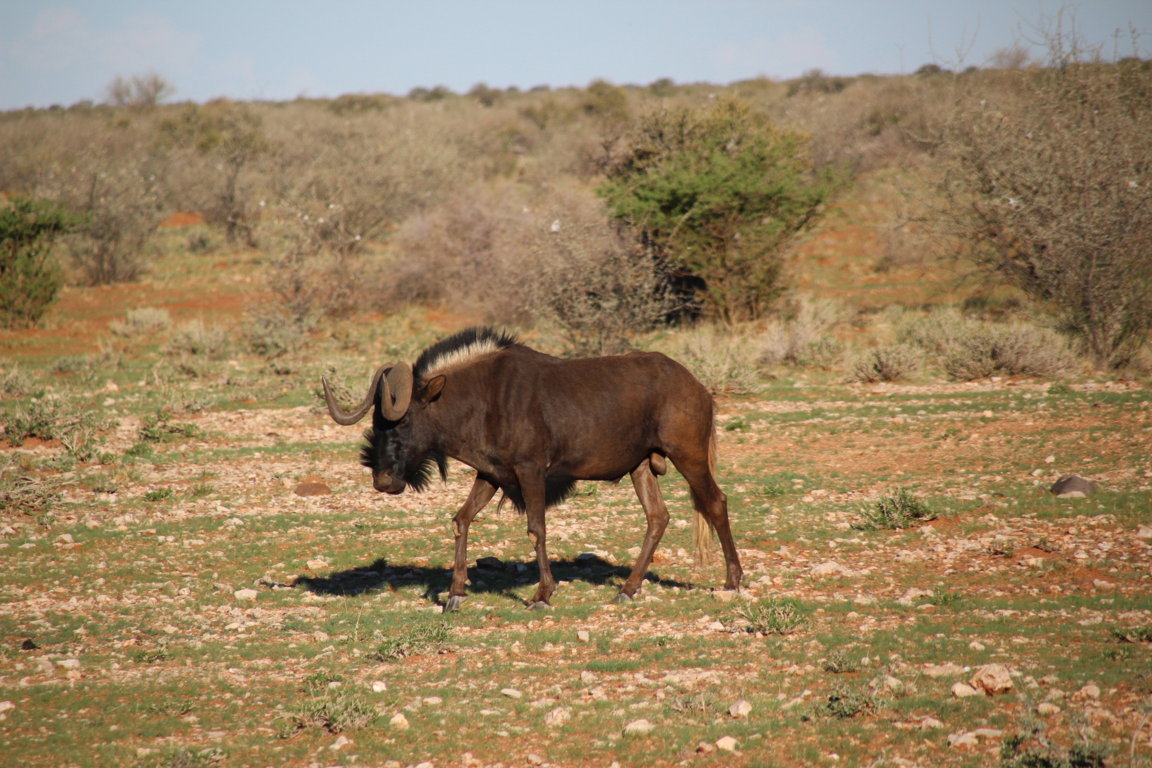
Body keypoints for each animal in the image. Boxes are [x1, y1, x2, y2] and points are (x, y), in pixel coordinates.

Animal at [322, 327, 742, 611]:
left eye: (403, 421)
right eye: (377, 423)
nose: (383, 481)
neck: (483, 398)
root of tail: (697, 387)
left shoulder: (531, 472)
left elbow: (536, 528)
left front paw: (543, 594)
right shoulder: (491, 474)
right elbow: (461, 519)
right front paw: (455, 593)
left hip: (688, 456)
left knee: (716, 502)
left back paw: (733, 580)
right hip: (641, 467)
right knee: (658, 517)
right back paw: (628, 588)